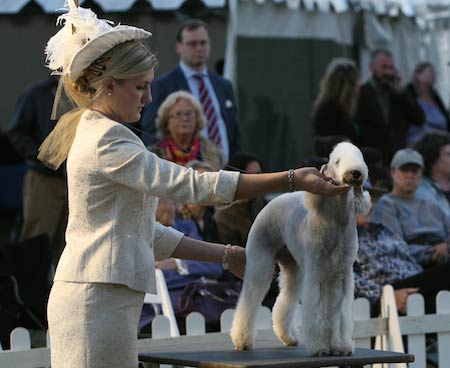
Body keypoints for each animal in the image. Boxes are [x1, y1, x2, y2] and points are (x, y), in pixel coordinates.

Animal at [230, 142, 370, 356]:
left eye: (360, 158)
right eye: (337, 161)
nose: (355, 173)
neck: (336, 222)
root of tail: (275, 200)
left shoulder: (341, 275)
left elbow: (339, 314)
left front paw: (341, 346)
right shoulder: (316, 273)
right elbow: (316, 311)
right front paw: (320, 347)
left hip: (293, 267)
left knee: (285, 299)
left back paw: (288, 337)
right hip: (259, 261)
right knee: (250, 298)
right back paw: (242, 340)